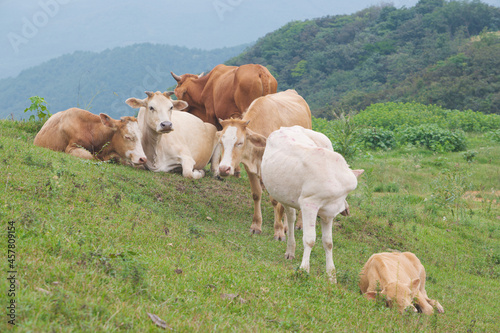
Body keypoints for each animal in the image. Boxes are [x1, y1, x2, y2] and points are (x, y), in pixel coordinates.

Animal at [219, 89, 312, 237]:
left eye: (240, 143)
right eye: (221, 142)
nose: (224, 169)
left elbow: (275, 200)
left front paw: (279, 230)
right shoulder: (249, 168)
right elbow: (256, 194)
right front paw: (256, 225)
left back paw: (298, 224)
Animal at [262, 126, 364, 282]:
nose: (345, 209)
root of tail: (286, 127)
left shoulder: (328, 213)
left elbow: (328, 243)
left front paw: (331, 276)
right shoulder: (309, 203)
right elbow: (309, 239)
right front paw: (303, 270)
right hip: (285, 196)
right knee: (290, 218)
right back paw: (290, 251)